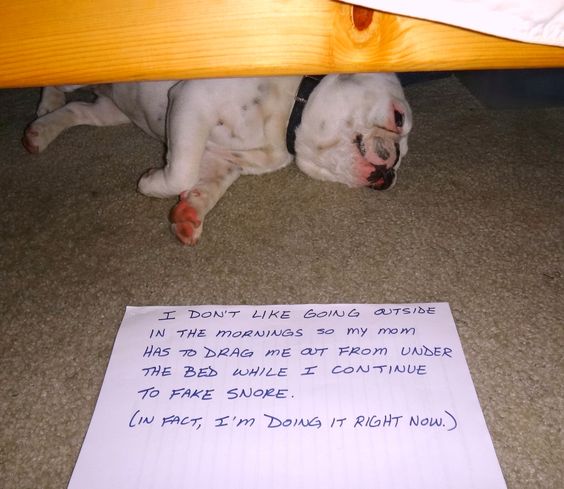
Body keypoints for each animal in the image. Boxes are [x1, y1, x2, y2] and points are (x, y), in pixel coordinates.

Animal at [23, 74, 410, 244]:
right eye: (398, 118)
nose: (392, 173)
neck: (291, 113)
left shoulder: (222, 160)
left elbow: (203, 185)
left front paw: (188, 213)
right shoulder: (192, 102)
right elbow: (180, 170)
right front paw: (150, 183)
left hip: (111, 111)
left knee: (78, 111)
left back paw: (40, 130)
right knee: (53, 81)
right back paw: (45, 105)